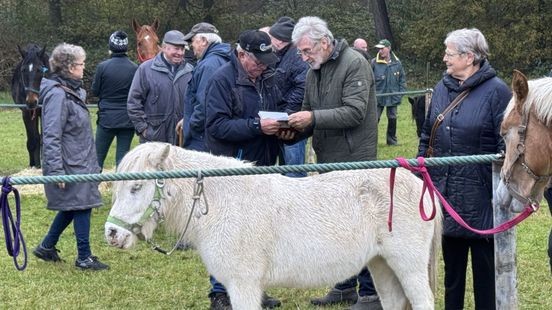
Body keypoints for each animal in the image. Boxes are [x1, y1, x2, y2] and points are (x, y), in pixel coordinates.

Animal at [104, 143, 440, 310]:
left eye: (136, 187)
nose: (112, 234)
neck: (224, 202)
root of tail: (422, 187)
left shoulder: (243, 285)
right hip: (381, 263)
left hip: (407, 265)